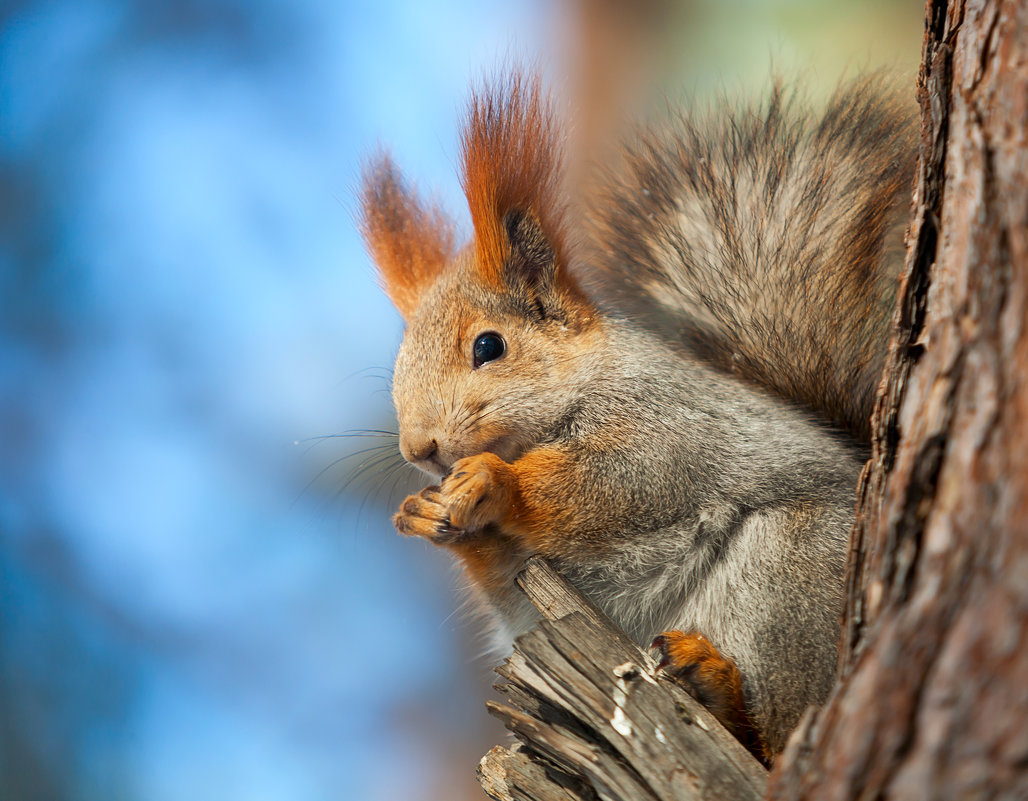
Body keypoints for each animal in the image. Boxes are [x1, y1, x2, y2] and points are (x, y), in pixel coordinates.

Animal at [359, 71, 916, 760]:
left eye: (488, 346)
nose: (420, 450)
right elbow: (513, 588)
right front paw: (424, 512)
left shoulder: (671, 426)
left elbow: (624, 480)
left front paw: (496, 481)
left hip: (789, 577)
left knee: (780, 731)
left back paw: (718, 689)